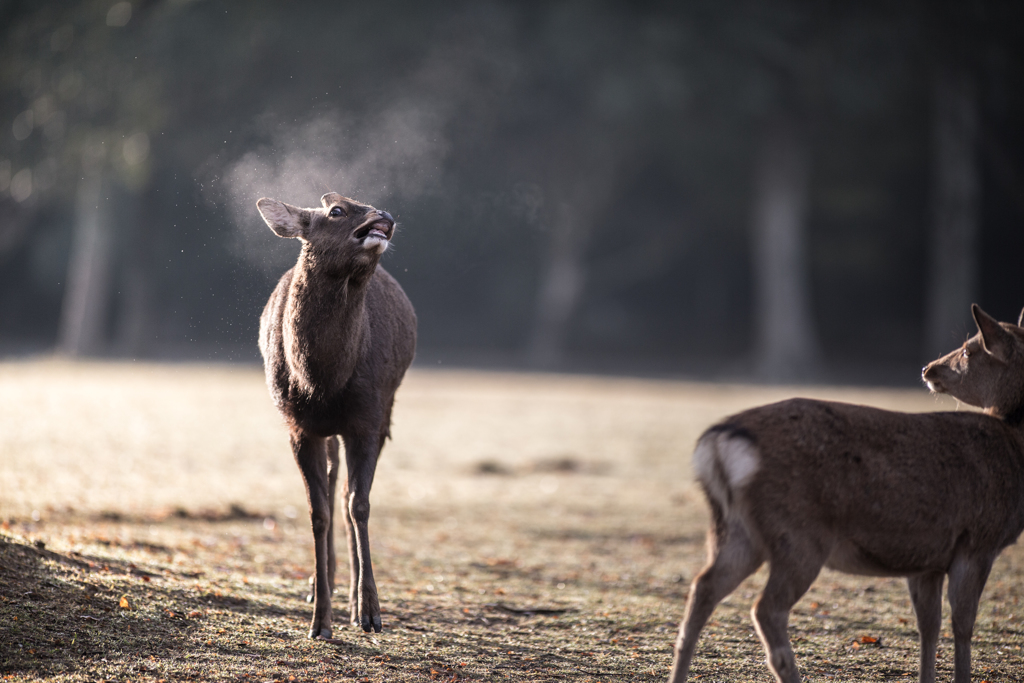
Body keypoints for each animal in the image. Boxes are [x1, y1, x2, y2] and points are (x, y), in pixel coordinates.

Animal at [256, 192, 415, 643]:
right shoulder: (298, 426)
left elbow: (358, 505)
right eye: (337, 211)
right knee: (331, 484)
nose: (385, 216)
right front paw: (319, 622)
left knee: (346, 495)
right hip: (328, 432)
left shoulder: (368, 419)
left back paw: (356, 602)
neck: (321, 381)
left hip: (386, 409)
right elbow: (318, 512)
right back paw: (320, 586)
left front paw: (370, 612)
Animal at [667, 305, 1024, 683]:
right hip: (800, 533)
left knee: (703, 587)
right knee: (766, 608)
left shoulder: (927, 559)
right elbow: (962, 624)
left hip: (737, 532)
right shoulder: (979, 541)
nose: (929, 369)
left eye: (970, 350)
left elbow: (928, 626)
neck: (1015, 450)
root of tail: (717, 443)